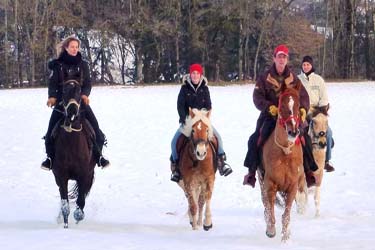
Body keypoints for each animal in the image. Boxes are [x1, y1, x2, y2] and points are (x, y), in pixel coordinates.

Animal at [52, 80, 96, 229]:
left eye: (79, 91)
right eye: (64, 91)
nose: (72, 110)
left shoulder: (84, 175)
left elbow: (80, 201)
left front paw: (78, 217)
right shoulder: (61, 176)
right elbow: (65, 204)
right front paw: (65, 223)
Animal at [260, 86, 306, 242]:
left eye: (298, 105)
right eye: (282, 106)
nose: (293, 132)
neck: (285, 152)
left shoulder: (292, 187)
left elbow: (286, 215)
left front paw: (285, 238)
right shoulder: (270, 184)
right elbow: (270, 209)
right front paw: (270, 230)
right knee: (265, 204)